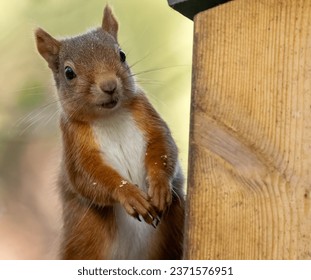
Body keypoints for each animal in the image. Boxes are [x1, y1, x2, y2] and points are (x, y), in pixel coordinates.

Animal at [34, 4, 185, 260]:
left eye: (121, 54)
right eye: (68, 73)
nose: (109, 85)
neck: (110, 117)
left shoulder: (148, 117)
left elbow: (163, 147)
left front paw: (159, 186)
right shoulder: (74, 142)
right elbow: (88, 176)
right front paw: (129, 194)